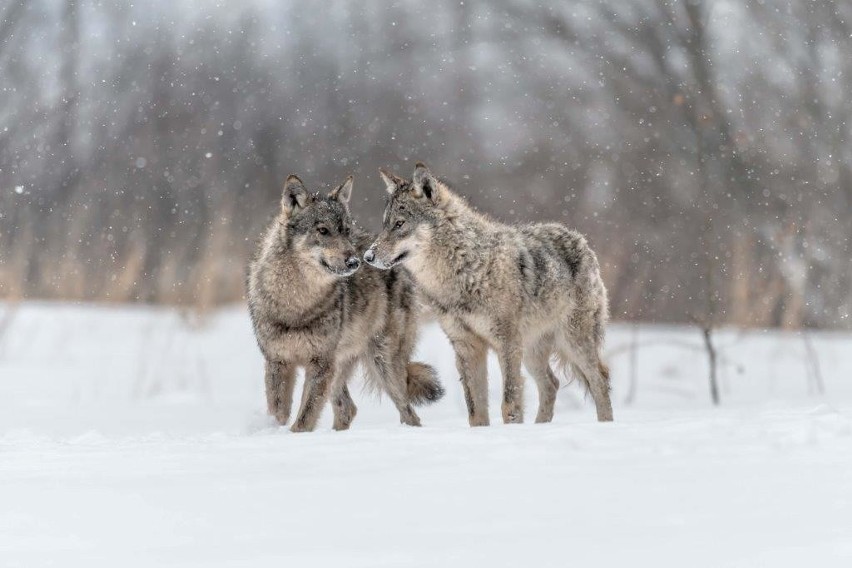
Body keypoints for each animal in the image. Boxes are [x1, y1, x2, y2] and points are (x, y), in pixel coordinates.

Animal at [246, 175, 442, 432]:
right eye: (323, 230)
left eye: (346, 230)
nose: (355, 262)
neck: (297, 305)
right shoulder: (278, 361)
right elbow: (278, 412)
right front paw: (274, 431)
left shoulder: (320, 364)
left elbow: (304, 418)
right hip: (340, 369)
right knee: (348, 408)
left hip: (382, 364)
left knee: (408, 412)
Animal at [364, 162, 612, 424]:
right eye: (385, 224)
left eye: (399, 224)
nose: (367, 256)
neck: (462, 271)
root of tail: (578, 237)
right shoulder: (467, 347)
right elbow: (475, 411)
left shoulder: (507, 343)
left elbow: (509, 405)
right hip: (532, 351)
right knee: (552, 384)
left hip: (573, 343)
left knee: (599, 380)